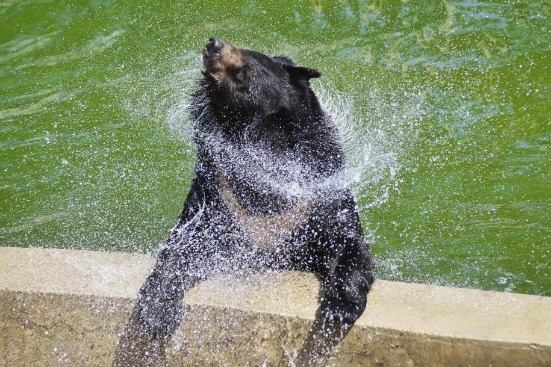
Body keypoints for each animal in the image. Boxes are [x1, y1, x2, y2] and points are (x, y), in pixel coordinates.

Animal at [115, 38, 376, 366]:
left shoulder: (317, 197)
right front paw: (155, 314)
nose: (213, 43)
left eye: (247, 59)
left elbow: (348, 242)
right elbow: (182, 250)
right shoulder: (216, 202)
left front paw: (340, 306)